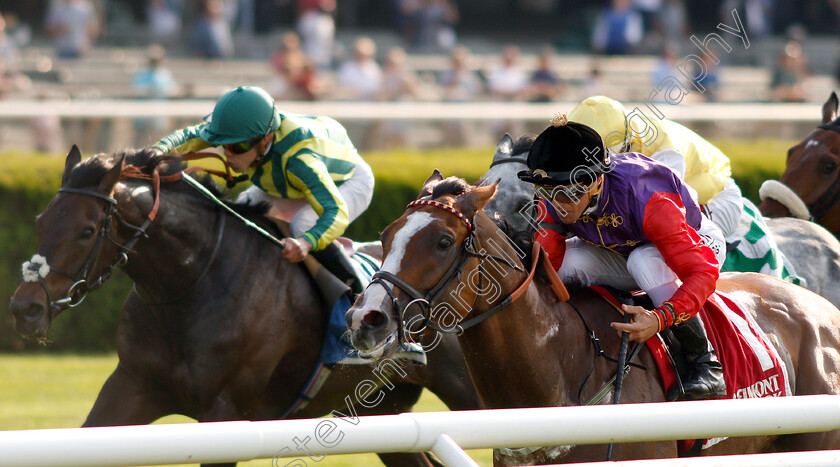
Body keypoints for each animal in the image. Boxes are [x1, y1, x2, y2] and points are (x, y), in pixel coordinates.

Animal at [8, 147, 480, 467]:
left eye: (87, 231)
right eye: (40, 222)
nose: (25, 309)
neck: (192, 283)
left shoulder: (226, 413)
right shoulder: (133, 386)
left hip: (467, 391)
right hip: (384, 408)